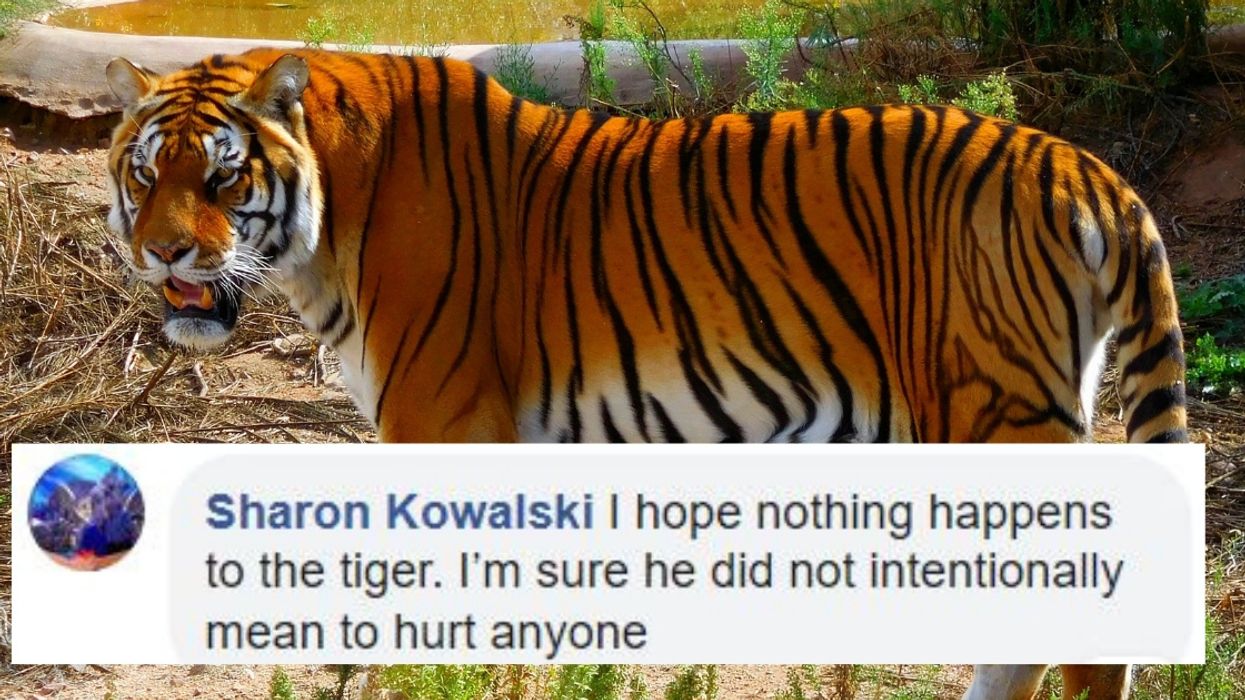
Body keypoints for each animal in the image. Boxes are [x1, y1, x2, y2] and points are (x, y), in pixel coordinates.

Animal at [103, 49, 1187, 699]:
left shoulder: (439, 419)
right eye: (146, 173)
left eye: (224, 176)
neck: (331, 211)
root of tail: (1089, 169)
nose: (162, 254)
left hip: (994, 410)